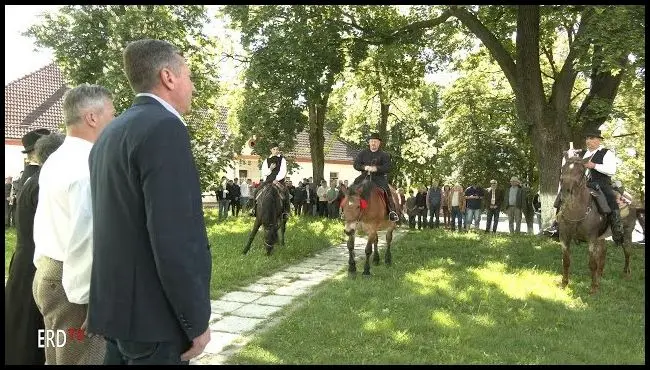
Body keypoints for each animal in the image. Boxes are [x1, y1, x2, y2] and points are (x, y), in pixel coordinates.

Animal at [556, 155, 632, 294]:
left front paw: (593, 287)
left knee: (627, 251)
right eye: (563, 168)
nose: (566, 193)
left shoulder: (591, 238)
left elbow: (592, 263)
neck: (576, 212)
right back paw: (600, 275)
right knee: (603, 252)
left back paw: (626, 273)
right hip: (601, 237)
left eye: (581, 171)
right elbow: (566, 261)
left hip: (627, 233)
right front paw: (564, 284)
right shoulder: (564, 237)